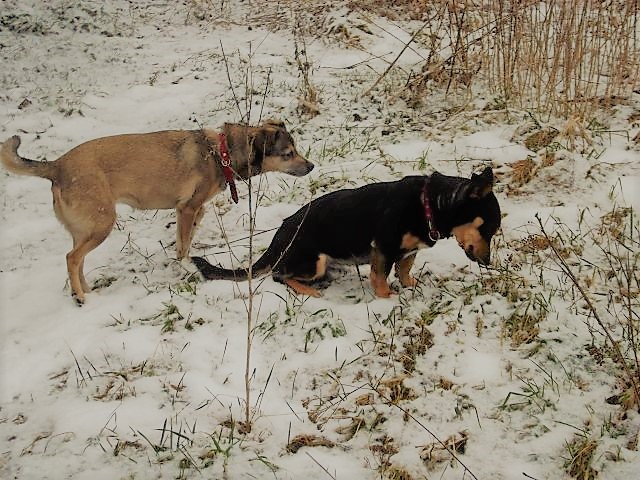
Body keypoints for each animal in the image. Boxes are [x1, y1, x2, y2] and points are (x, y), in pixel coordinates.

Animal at [1, 119, 314, 304]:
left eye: (296, 149)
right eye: (288, 154)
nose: (311, 166)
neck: (220, 153)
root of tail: (56, 166)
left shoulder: (195, 211)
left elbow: (185, 240)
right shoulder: (187, 209)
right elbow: (183, 247)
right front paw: (185, 265)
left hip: (85, 228)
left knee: (77, 261)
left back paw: (86, 290)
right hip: (102, 224)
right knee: (71, 258)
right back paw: (80, 296)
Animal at [191, 167, 501, 298]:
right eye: (488, 229)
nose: (488, 263)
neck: (431, 204)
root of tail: (277, 241)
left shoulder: (407, 252)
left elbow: (404, 270)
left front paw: (411, 285)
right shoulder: (384, 247)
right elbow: (381, 280)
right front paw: (387, 300)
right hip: (314, 262)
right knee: (279, 275)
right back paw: (307, 290)